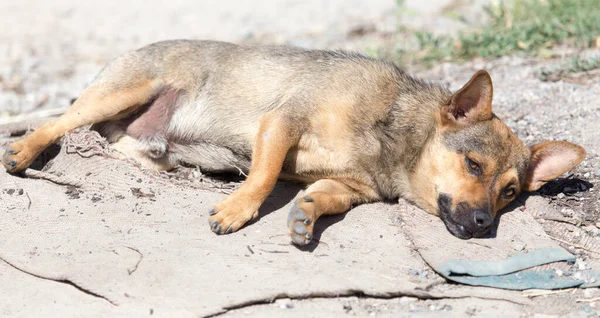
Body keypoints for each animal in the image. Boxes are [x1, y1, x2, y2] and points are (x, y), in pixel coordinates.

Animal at [2, 39, 584, 246]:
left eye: (510, 193)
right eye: (473, 165)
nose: (485, 223)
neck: (395, 141)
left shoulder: (348, 188)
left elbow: (320, 198)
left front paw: (304, 216)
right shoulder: (281, 123)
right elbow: (263, 176)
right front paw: (237, 211)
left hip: (147, 144)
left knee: (122, 145)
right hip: (120, 91)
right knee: (56, 121)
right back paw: (25, 150)